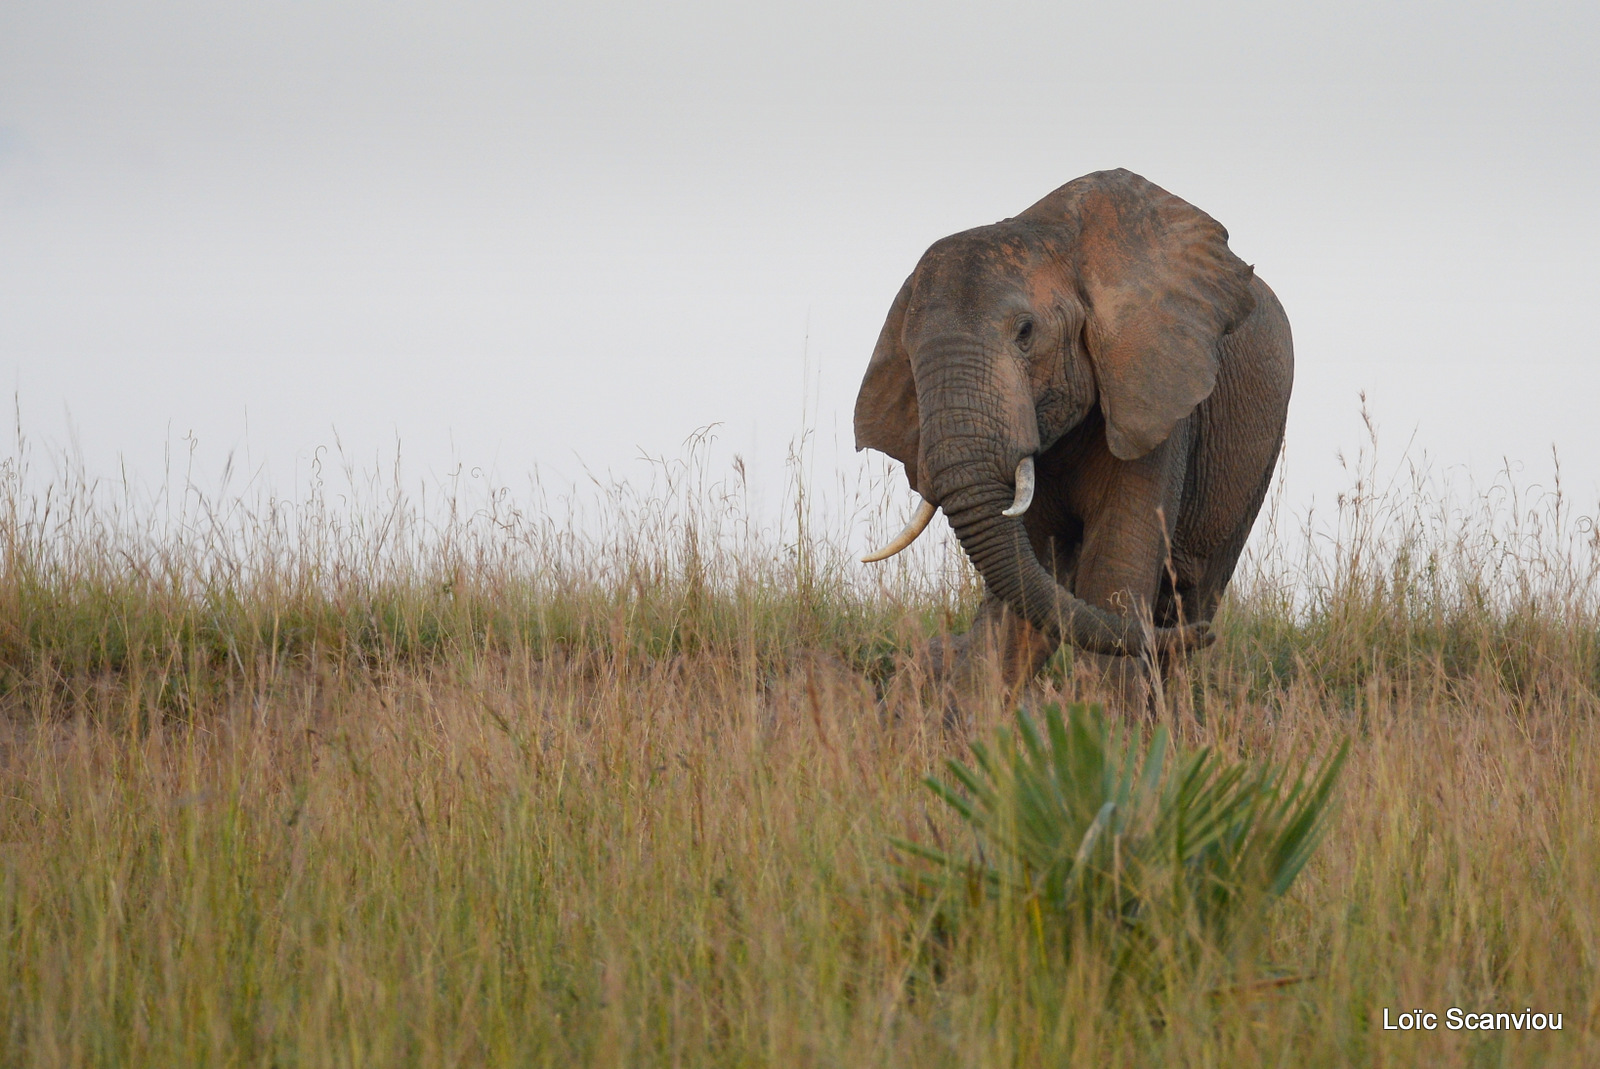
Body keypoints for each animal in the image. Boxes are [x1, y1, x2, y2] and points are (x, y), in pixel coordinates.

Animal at [851, 168, 1286, 710]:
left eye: (1025, 332)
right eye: (907, 356)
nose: (1208, 637)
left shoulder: (1153, 393)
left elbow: (1113, 571)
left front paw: (1112, 726)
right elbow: (1028, 579)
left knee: (1191, 594)